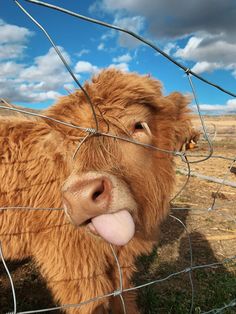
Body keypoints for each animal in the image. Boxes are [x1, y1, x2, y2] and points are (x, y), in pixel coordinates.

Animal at [0, 70, 194, 312]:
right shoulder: (74, 267)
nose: (79, 198)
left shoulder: (120, 263)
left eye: (139, 125)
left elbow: (123, 296)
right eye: (65, 143)